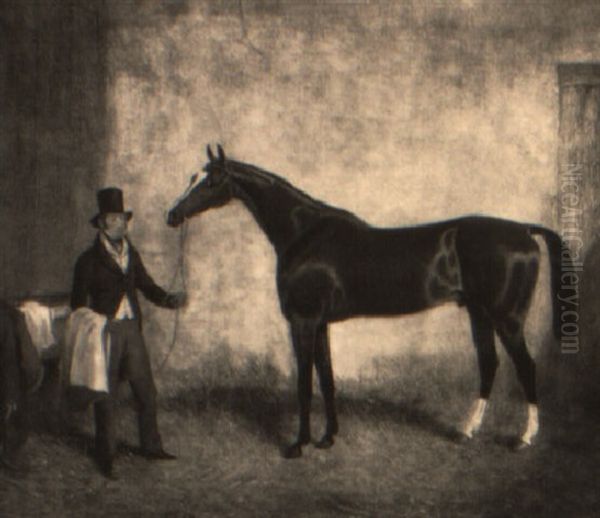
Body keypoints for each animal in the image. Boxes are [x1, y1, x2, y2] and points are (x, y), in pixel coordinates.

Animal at [168, 146, 564, 460]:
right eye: (192, 177)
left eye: (210, 182)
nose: (172, 216)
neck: (304, 234)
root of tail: (524, 231)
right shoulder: (321, 324)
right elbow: (327, 379)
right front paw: (328, 438)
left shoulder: (303, 321)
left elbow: (304, 384)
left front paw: (298, 445)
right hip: (479, 313)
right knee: (488, 364)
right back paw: (465, 430)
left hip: (507, 319)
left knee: (526, 368)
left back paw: (523, 438)